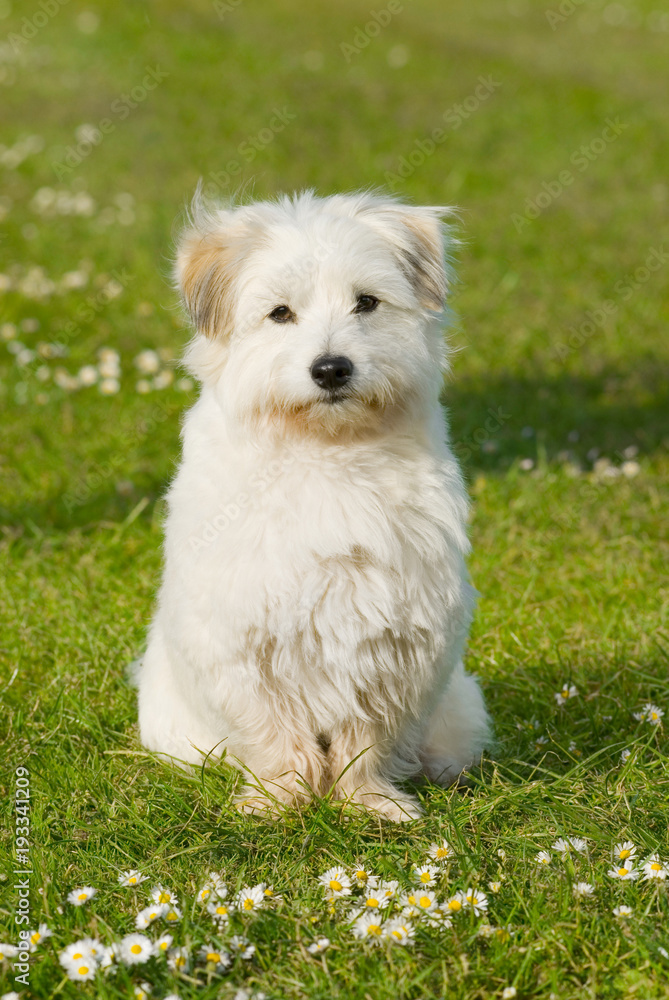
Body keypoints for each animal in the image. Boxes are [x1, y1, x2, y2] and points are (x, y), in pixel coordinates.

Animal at [137, 188, 490, 820]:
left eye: (367, 303)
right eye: (280, 314)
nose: (331, 368)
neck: (324, 451)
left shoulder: (395, 639)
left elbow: (367, 735)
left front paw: (369, 802)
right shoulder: (240, 638)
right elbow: (274, 732)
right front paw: (279, 800)